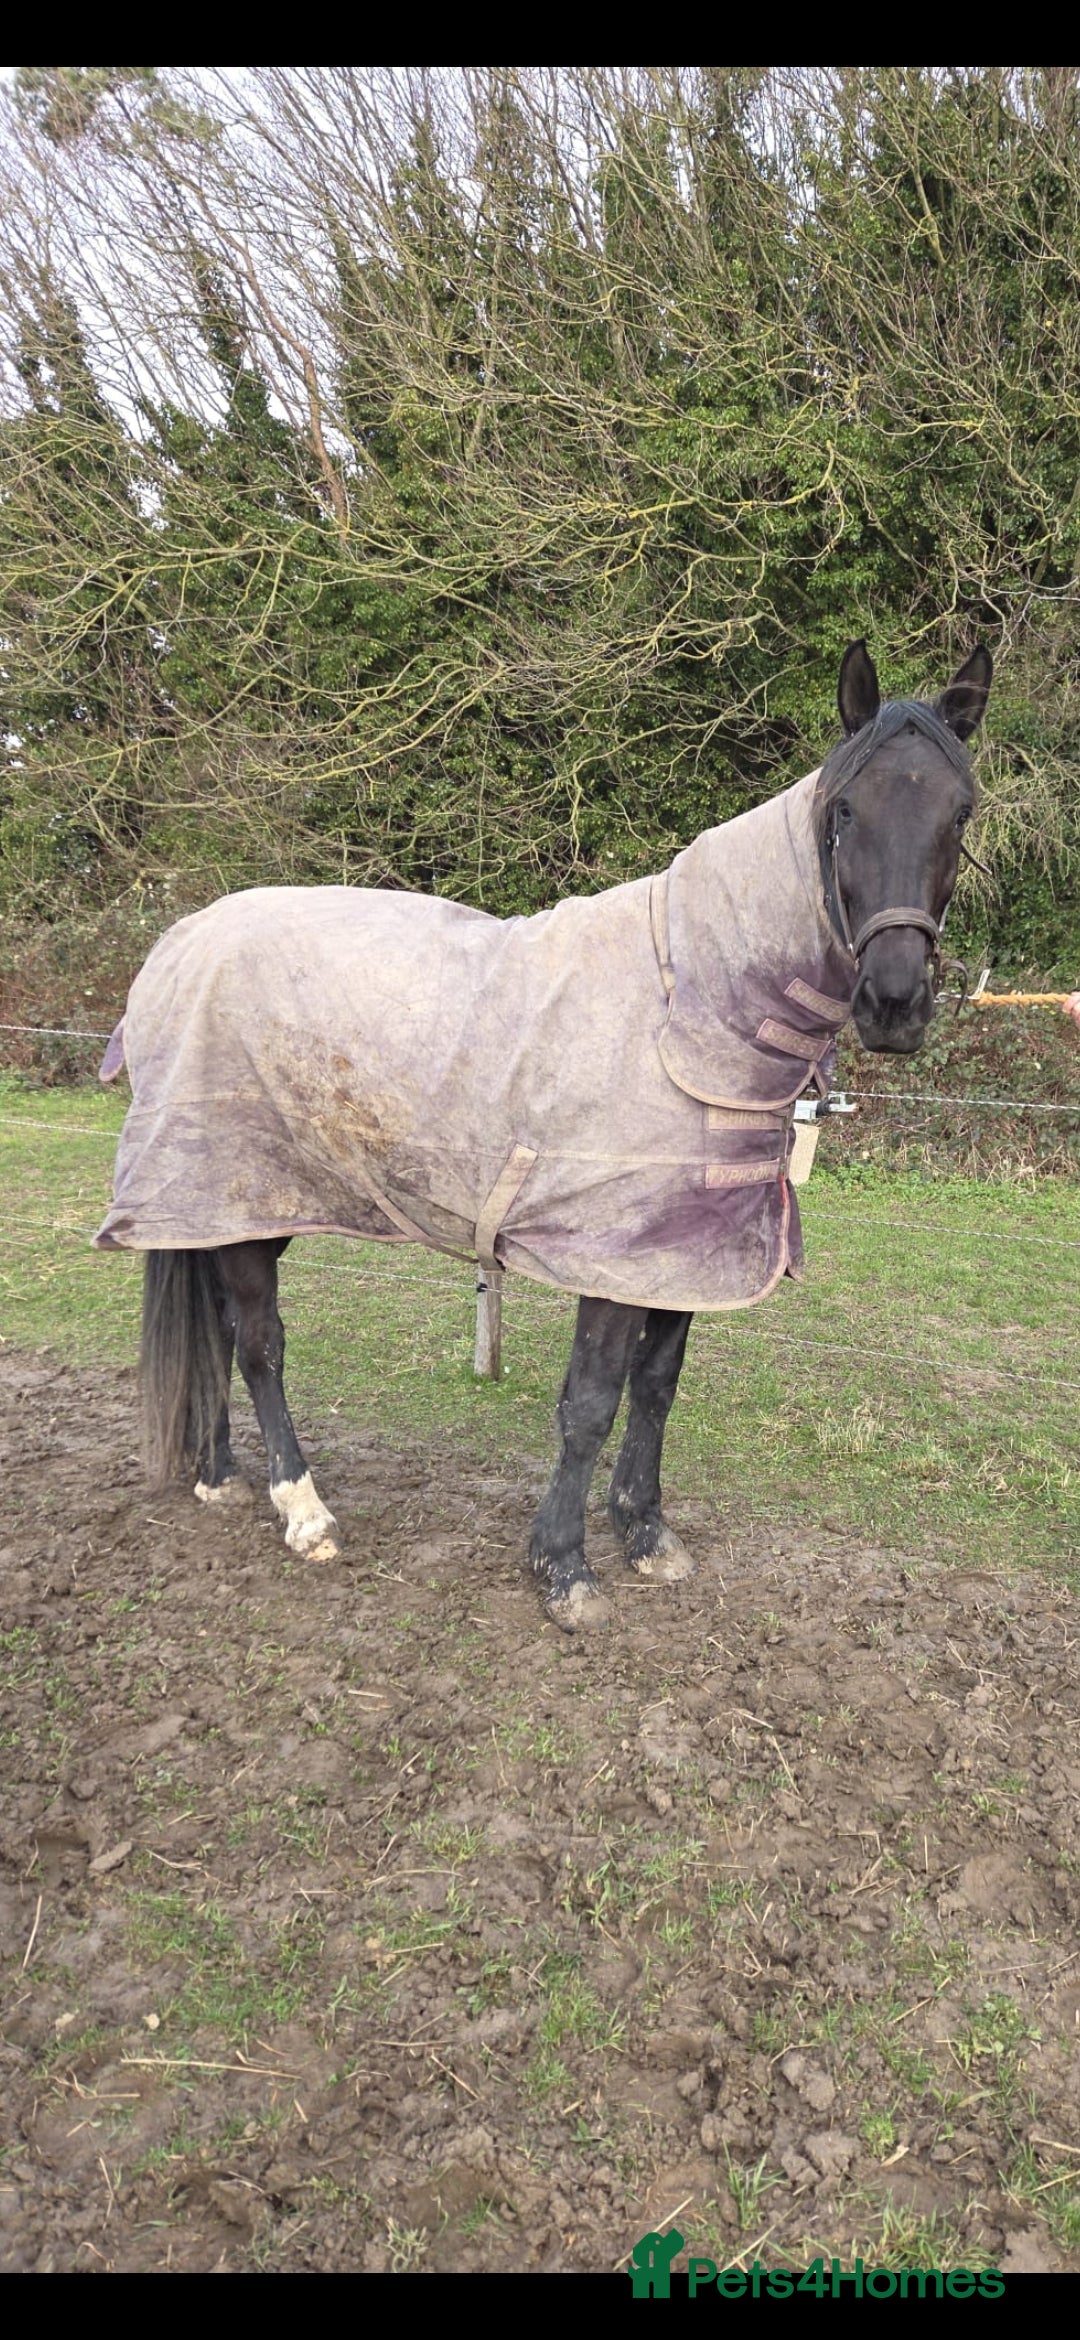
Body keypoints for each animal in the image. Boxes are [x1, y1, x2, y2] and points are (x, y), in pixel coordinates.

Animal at [96, 640, 992, 1629]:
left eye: (961, 810)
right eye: (844, 810)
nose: (896, 1003)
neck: (686, 1003)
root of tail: (179, 942)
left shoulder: (679, 1249)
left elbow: (657, 1386)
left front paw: (647, 1533)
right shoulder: (608, 1253)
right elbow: (591, 1401)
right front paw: (563, 1567)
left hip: (235, 1206)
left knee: (218, 1331)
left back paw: (220, 1476)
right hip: (240, 1198)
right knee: (260, 1343)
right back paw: (304, 1511)